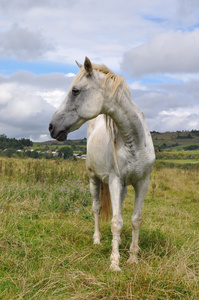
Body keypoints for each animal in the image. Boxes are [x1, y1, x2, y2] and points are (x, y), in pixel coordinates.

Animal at [48, 57, 155, 270]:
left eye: (75, 90)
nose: (51, 127)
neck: (135, 143)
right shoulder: (114, 181)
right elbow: (116, 222)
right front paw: (115, 263)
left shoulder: (142, 182)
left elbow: (135, 219)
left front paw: (133, 258)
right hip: (94, 180)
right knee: (96, 208)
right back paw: (97, 239)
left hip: (123, 187)